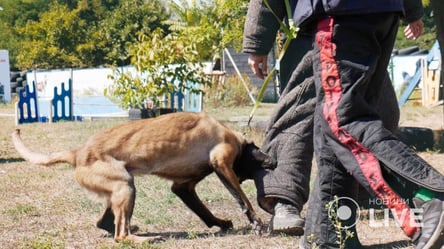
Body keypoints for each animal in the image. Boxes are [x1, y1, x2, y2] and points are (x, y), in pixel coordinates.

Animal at [11, 112, 274, 243]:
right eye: (260, 155)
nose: (273, 161)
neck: (229, 134)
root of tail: (78, 152)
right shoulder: (222, 164)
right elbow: (243, 200)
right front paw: (256, 222)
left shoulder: (183, 187)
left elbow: (204, 211)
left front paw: (221, 223)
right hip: (125, 186)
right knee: (120, 236)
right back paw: (144, 239)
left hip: (121, 188)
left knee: (106, 223)